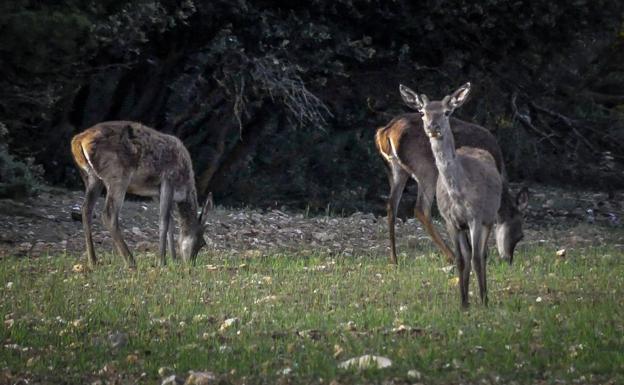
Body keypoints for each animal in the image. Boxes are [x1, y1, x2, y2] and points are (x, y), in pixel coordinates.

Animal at [70, 120, 212, 268]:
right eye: (202, 243)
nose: (191, 264)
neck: (184, 189)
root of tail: (78, 140)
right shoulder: (168, 179)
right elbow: (164, 221)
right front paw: (162, 262)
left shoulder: (156, 192)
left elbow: (171, 223)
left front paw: (173, 260)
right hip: (117, 176)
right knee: (108, 214)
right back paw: (131, 261)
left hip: (91, 178)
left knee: (86, 209)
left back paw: (93, 261)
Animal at [376, 91, 528, 266]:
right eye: (520, 235)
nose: (508, 260)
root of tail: (385, 133)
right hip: (426, 170)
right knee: (421, 209)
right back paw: (451, 256)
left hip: (396, 171)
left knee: (391, 206)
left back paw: (394, 260)